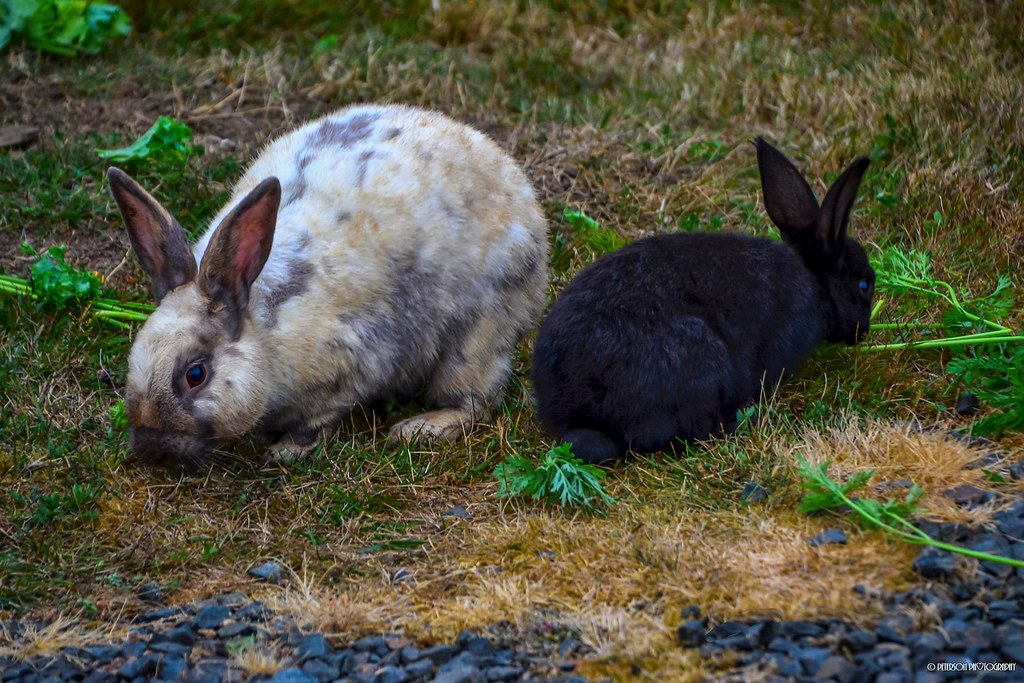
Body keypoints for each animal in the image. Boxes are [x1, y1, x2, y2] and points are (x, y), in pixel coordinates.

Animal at [108, 104, 549, 470]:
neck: (263, 324)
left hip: (477, 338)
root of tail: (530, 210)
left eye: (195, 374)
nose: (150, 449)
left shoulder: (349, 366)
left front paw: (286, 451)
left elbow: (317, 421)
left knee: (476, 401)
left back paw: (420, 428)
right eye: (135, 353)